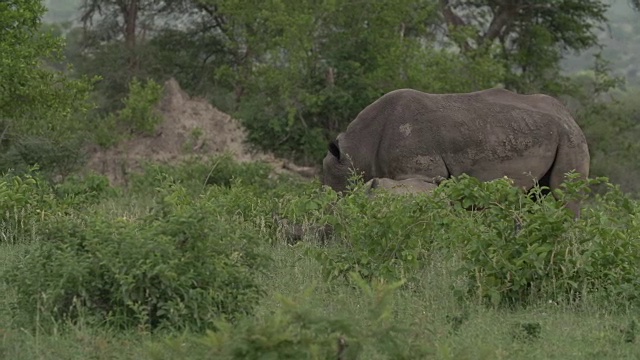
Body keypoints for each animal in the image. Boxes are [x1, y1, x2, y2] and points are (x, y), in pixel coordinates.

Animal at [322, 88, 592, 215]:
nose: (329, 213)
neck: (358, 149)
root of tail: (569, 115)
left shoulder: (423, 175)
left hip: (571, 138)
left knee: (564, 194)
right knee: (532, 195)